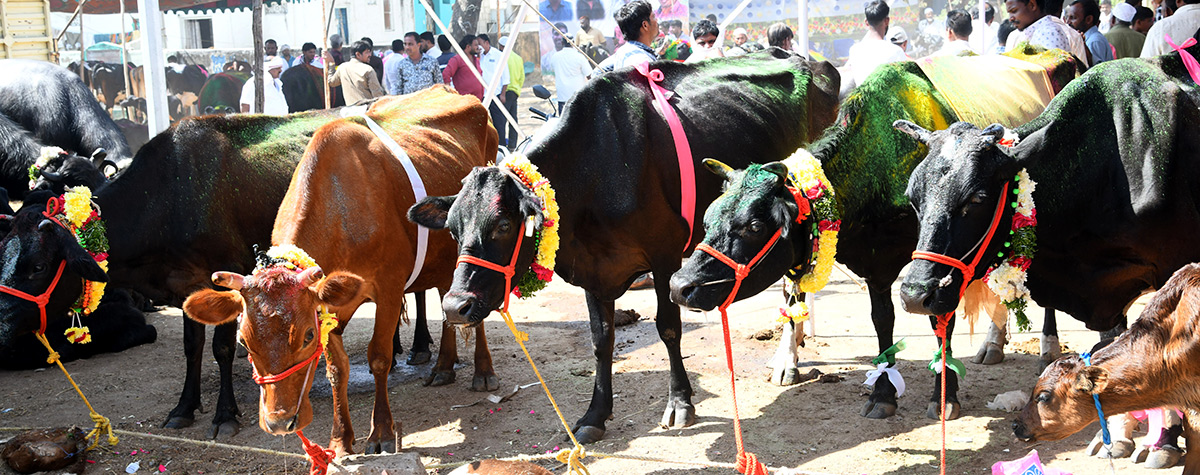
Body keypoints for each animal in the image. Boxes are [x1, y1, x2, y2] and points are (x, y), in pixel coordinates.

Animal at [178, 86, 496, 453]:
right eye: (243, 340)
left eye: (307, 336)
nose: (278, 422)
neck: (341, 209)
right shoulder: (328, 304)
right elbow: (335, 368)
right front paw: (341, 437)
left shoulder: (389, 287)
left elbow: (379, 357)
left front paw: (381, 432)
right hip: (442, 257)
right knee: (448, 299)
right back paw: (443, 367)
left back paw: (483, 372)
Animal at [408, 50, 840, 443]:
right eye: (451, 229)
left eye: (501, 225)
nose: (454, 307)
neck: (595, 168)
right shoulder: (593, 271)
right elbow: (601, 341)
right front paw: (595, 415)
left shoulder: (665, 257)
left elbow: (668, 327)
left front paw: (680, 402)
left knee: (795, 287)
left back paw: (787, 359)